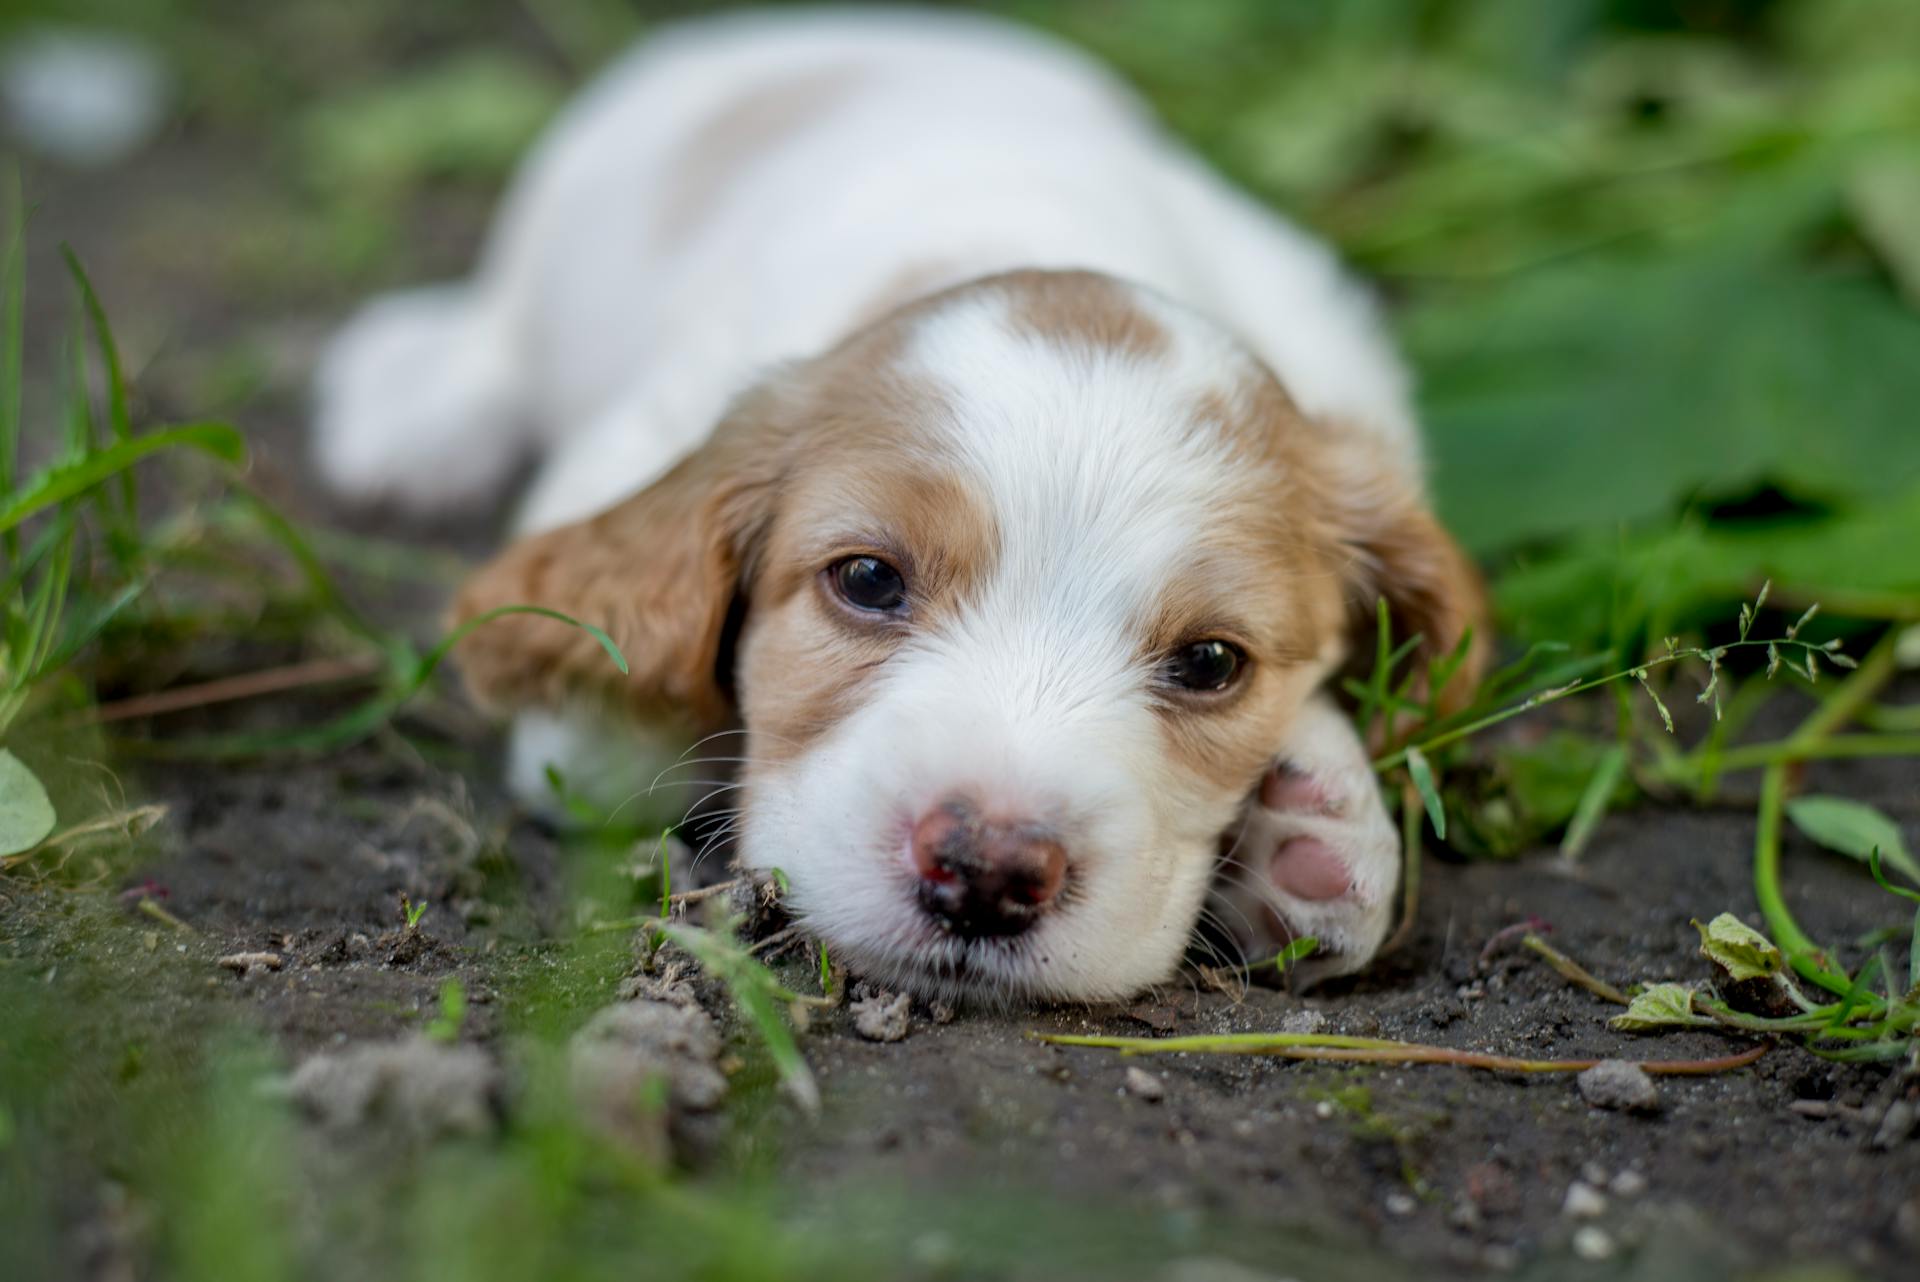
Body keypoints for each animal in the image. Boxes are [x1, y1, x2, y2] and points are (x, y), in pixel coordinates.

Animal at [314, 14, 1482, 1005]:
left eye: (1210, 662)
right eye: (869, 580)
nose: (988, 872)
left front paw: (1314, 823)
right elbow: (606, 731)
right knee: (498, 335)